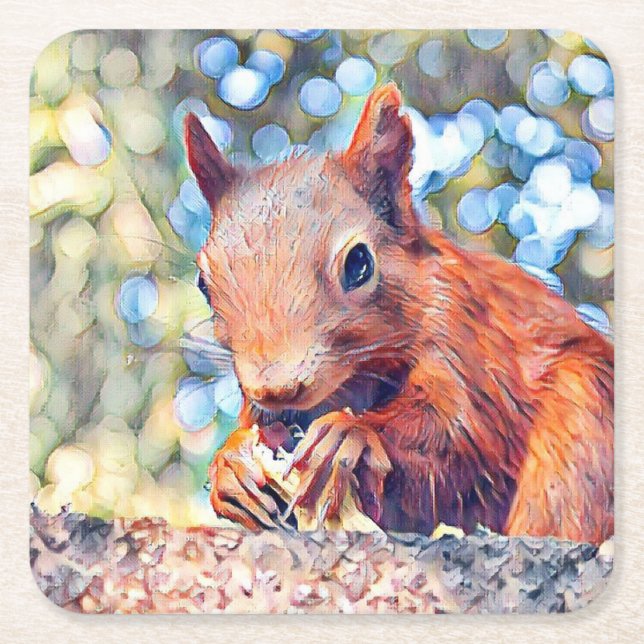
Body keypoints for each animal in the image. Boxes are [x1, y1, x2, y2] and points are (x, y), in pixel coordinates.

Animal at [185, 83, 613, 545]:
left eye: (359, 263)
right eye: (203, 283)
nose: (277, 389)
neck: (355, 380)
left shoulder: (464, 339)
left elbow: (460, 434)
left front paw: (353, 434)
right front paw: (231, 467)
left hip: (583, 418)